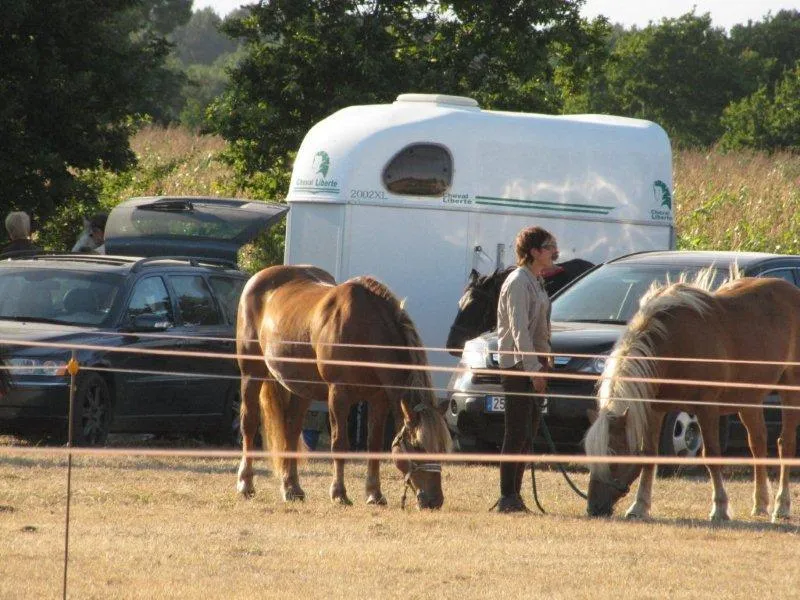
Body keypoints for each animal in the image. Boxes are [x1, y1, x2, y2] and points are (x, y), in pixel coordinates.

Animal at [234, 264, 454, 508]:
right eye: (417, 446)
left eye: (441, 448)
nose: (434, 500)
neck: (365, 330)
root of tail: (258, 277)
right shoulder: (339, 394)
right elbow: (339, 443)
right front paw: (339, 493)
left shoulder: (379, 399)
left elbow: (374, 443)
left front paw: (374, 494)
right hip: (252, 374)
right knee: (249, 424)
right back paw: (246, 484)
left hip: (302, 388)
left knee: (291, 429)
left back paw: (291, 488)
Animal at [580, 276, 800, 520]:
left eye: (613, 455)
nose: (594, 508)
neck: (674, 345)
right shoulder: (654, 410)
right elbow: (649, 454)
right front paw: (639, 506)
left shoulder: (707, 409)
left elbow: (711, 454)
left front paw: (720, 508)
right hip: (748, 398)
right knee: (758, 443)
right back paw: (760, 504)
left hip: (790, 388)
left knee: (785, 444)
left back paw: (782, 506)